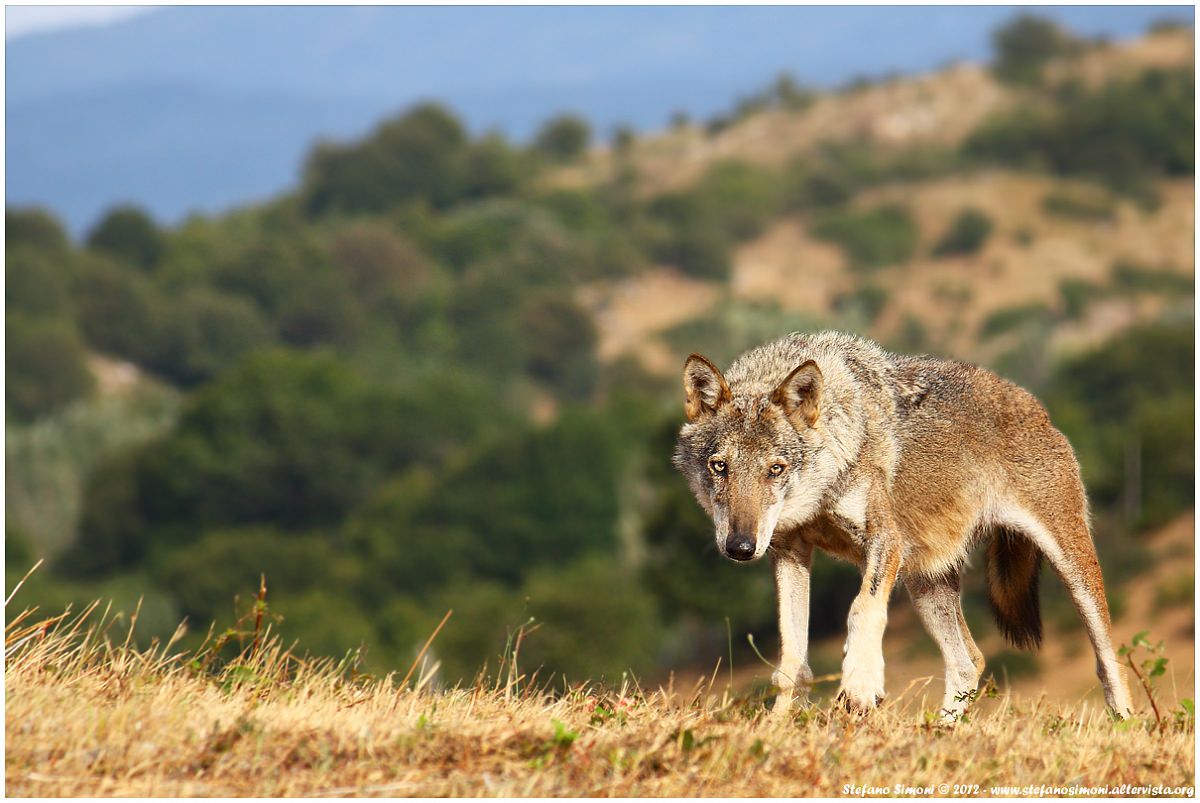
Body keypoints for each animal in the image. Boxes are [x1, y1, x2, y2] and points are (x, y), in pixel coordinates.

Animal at [676, 328, 1132, 715]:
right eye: (720, 467)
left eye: (775, 469)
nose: (740, 547)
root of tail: (1037, 407)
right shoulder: (789, 551)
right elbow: (792, 659)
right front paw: (779, 724)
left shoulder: (884, 540)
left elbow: (862, 608)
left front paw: (860, 684)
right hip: (925, 585)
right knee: (969, 661)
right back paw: (940, 732)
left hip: (1073, 570)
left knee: (1109, 662)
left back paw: (1124, 723)